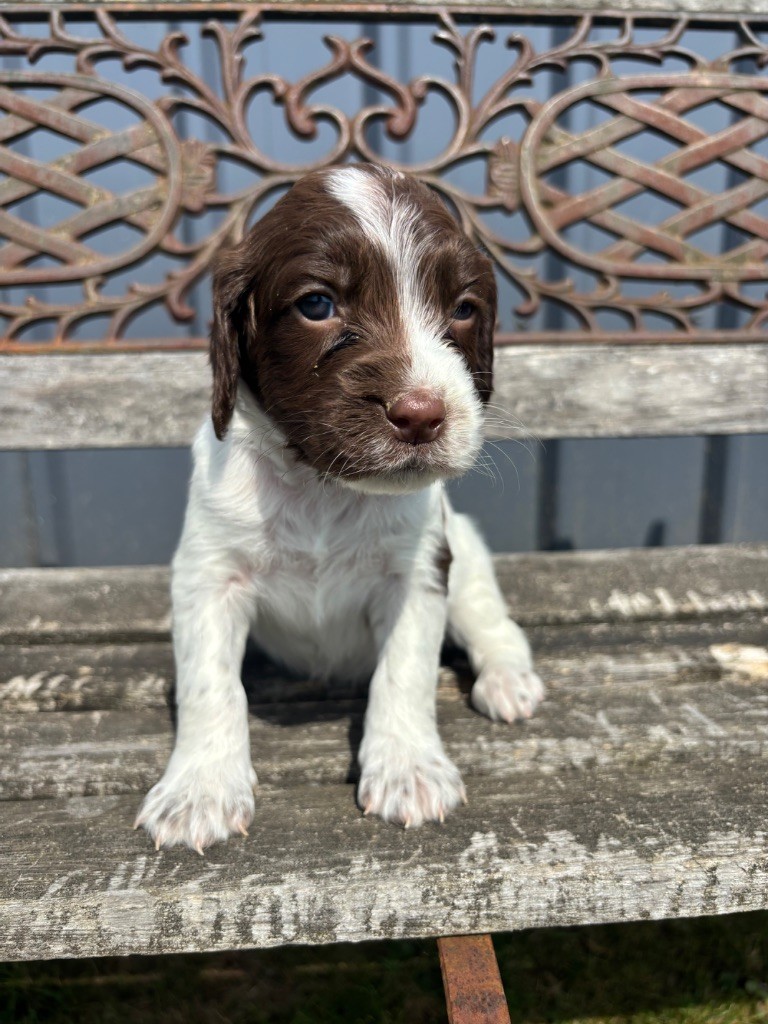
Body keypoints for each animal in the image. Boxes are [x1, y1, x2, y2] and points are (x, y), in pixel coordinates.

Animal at [136, 164, 544, 853]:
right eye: (317, 305)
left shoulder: (418, 571)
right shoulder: (209, 575)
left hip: (462, 550)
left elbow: (402, 671)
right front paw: (200, 789)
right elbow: (210, 685)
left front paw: (407, 768)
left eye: (463, 309)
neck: (323, 486)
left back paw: (507, 678)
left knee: (491, 619)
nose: (422, 414)